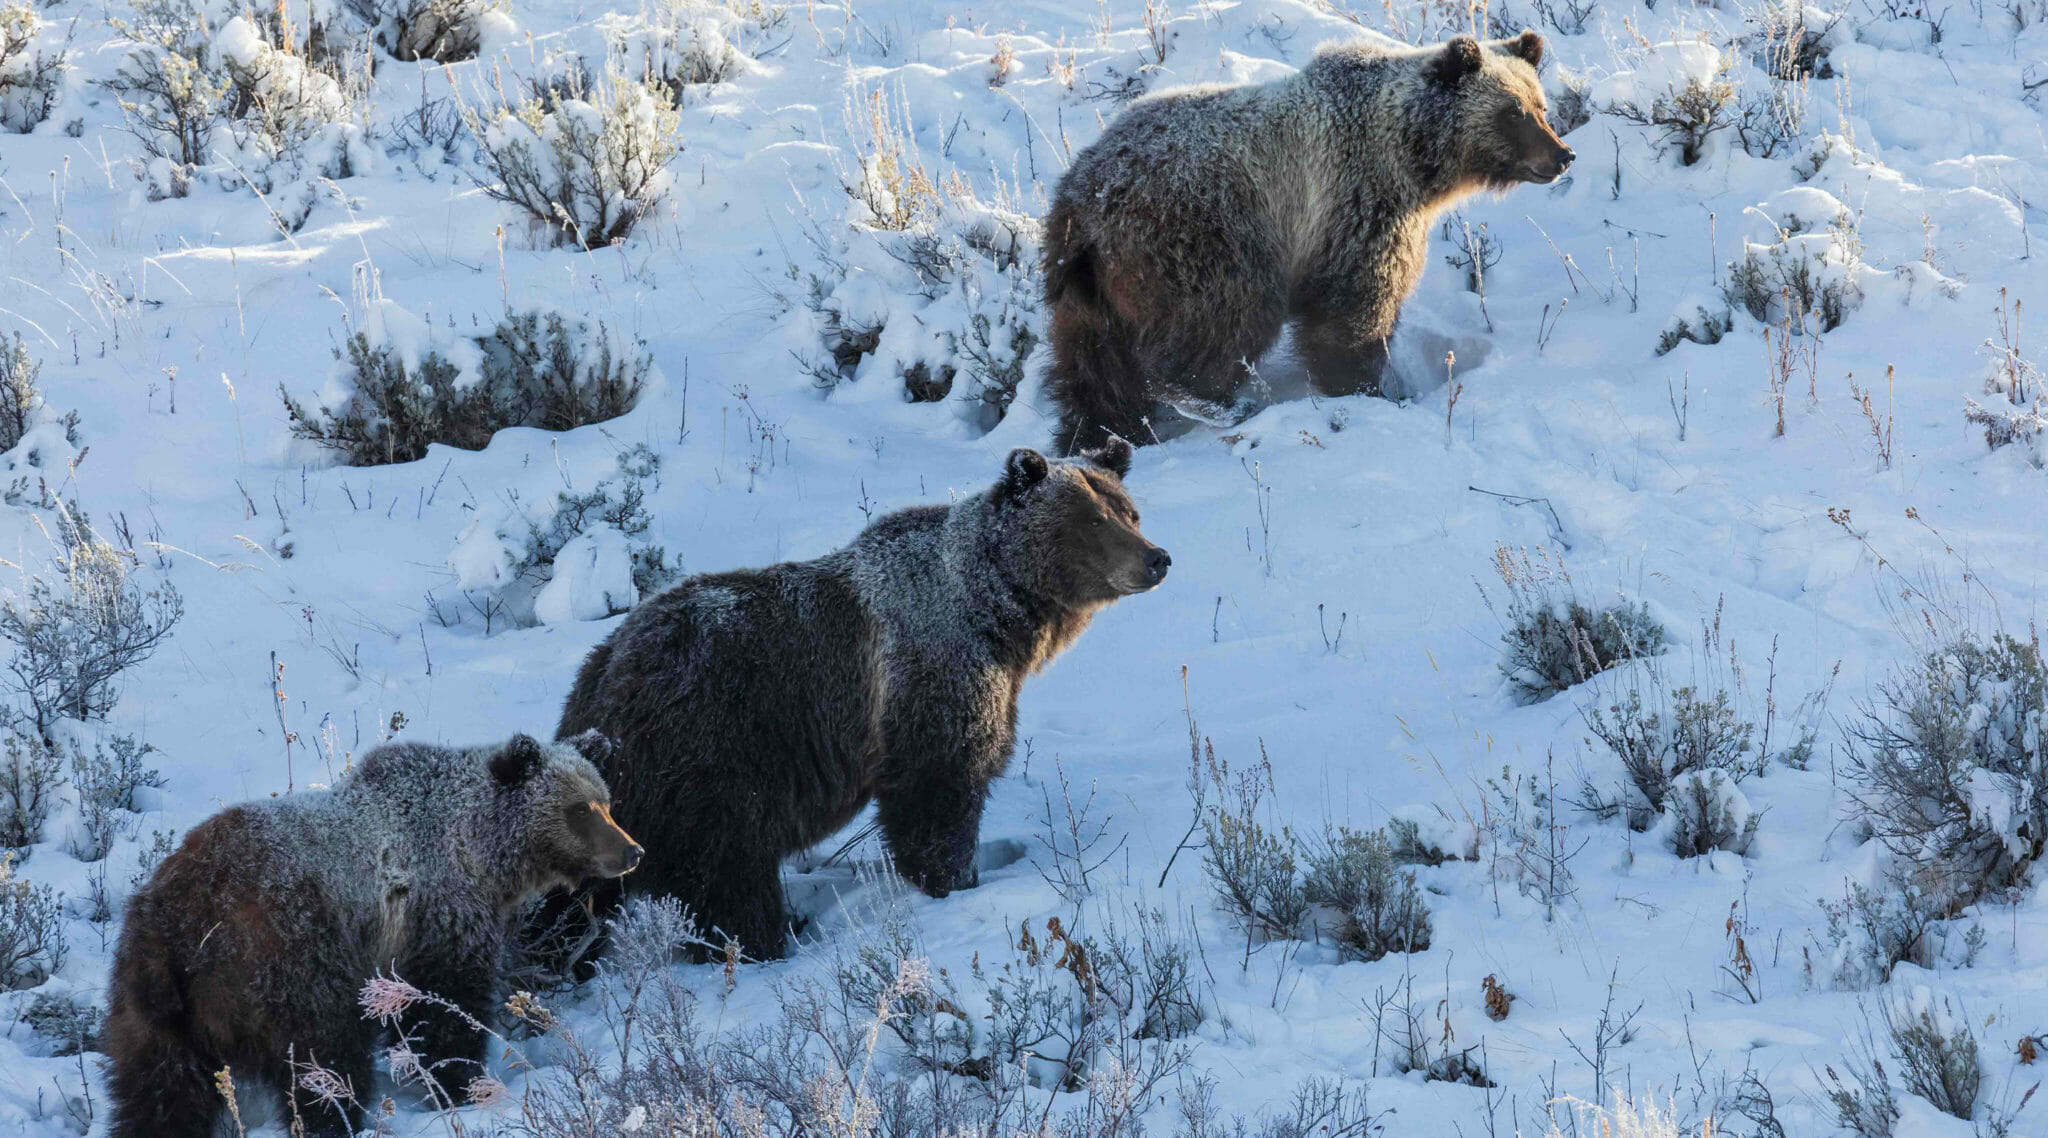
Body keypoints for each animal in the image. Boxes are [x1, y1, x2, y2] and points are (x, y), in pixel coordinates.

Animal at [96, 732, 634, 1129]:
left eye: (606, 802)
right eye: (579, 810)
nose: (632, 851)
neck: (478, 851)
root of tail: (175, 923)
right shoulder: (437, 917)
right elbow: (444, 1008)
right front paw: (463, 1084)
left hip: (149, 1006)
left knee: (160, 1091)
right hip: (285, 961)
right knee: (323, 1059)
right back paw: (338, 1115)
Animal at [552, 442, 1171, 961]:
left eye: (1129, 511)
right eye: (1092, 519)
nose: (1156, 558)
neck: (996, 615)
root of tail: (603, 680)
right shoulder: (930, 674)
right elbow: (941, 787)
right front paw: (952, 878)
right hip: (712, 753)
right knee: (727, 871)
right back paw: (766, 939)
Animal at [1048, 31, 1572, 448]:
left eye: (1540, 105)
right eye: (1512, 111)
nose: (1562, 155)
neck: (1412, 159)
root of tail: (1081, 203)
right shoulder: (1354, 207)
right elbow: (1352, 310)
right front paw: (1368, 386)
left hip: (1087, 293)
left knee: (1094, 371)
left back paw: (1098, 434)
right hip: (1202, 236)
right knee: (1226, 316)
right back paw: (1211, 400)